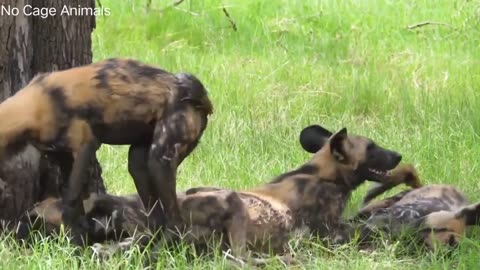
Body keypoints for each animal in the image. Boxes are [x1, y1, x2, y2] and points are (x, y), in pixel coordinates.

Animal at [0, 58, 212, 234]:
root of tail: (202, 101)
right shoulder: (64, 157)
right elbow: (75, 201)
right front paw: (79, 236)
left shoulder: (86, 146)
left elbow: (69, 201)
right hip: (139, 162)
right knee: (155, 215)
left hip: (160, 160)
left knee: (177, 223)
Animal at [16, 124, 404, 262]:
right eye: (372, 148)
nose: (399, 156)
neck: (320, 173)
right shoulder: (333, 230)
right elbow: (366, 228)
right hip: (231, 210)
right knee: (241, 258)